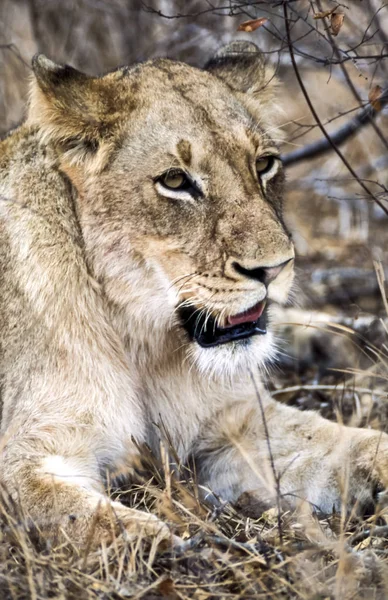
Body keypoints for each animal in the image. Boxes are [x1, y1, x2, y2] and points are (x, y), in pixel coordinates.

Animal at [0, 41, 388, 548]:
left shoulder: (236, 425)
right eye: (175, 181)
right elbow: (83, 516)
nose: (274, 268)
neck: (142, 340)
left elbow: (343, 441)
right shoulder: (26, 455)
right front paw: (172, 543)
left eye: (264, 164)